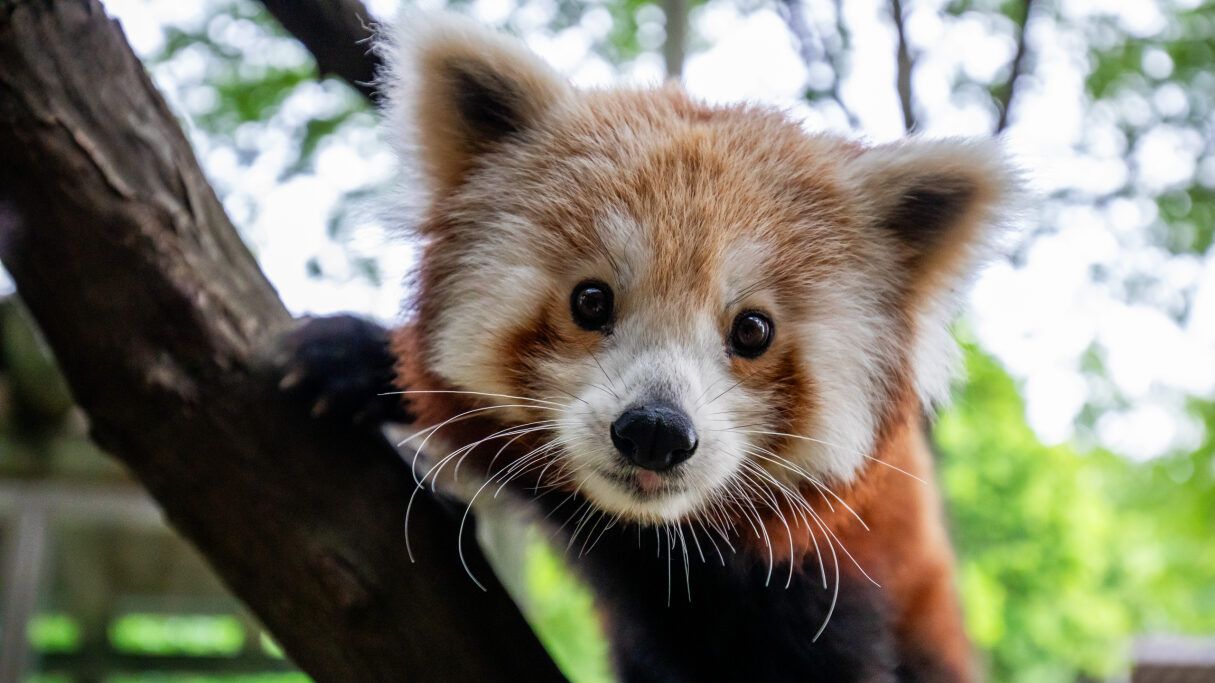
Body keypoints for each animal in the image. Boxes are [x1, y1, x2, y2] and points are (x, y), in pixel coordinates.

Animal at [364, 12, 1010, 680]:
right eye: (590, 301)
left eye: (752, 330)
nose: (656, 431)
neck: (654, 538)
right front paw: (356, 357)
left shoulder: (833, 571)